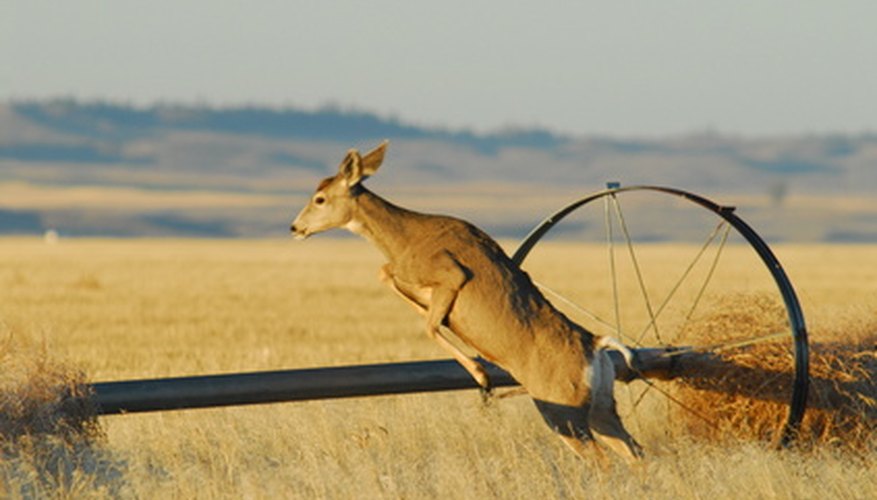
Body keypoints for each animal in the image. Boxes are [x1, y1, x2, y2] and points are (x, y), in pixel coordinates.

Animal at [290, 140, 640, 460]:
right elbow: (387, 275)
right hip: (602, 409)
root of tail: (596, 346)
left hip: (563, 411)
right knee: (635, 451)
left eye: (320, 198)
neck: (406, 237)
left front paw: (481, 373)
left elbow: (427, 323)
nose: (295, 227)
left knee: (602, 459)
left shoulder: (451, 274)